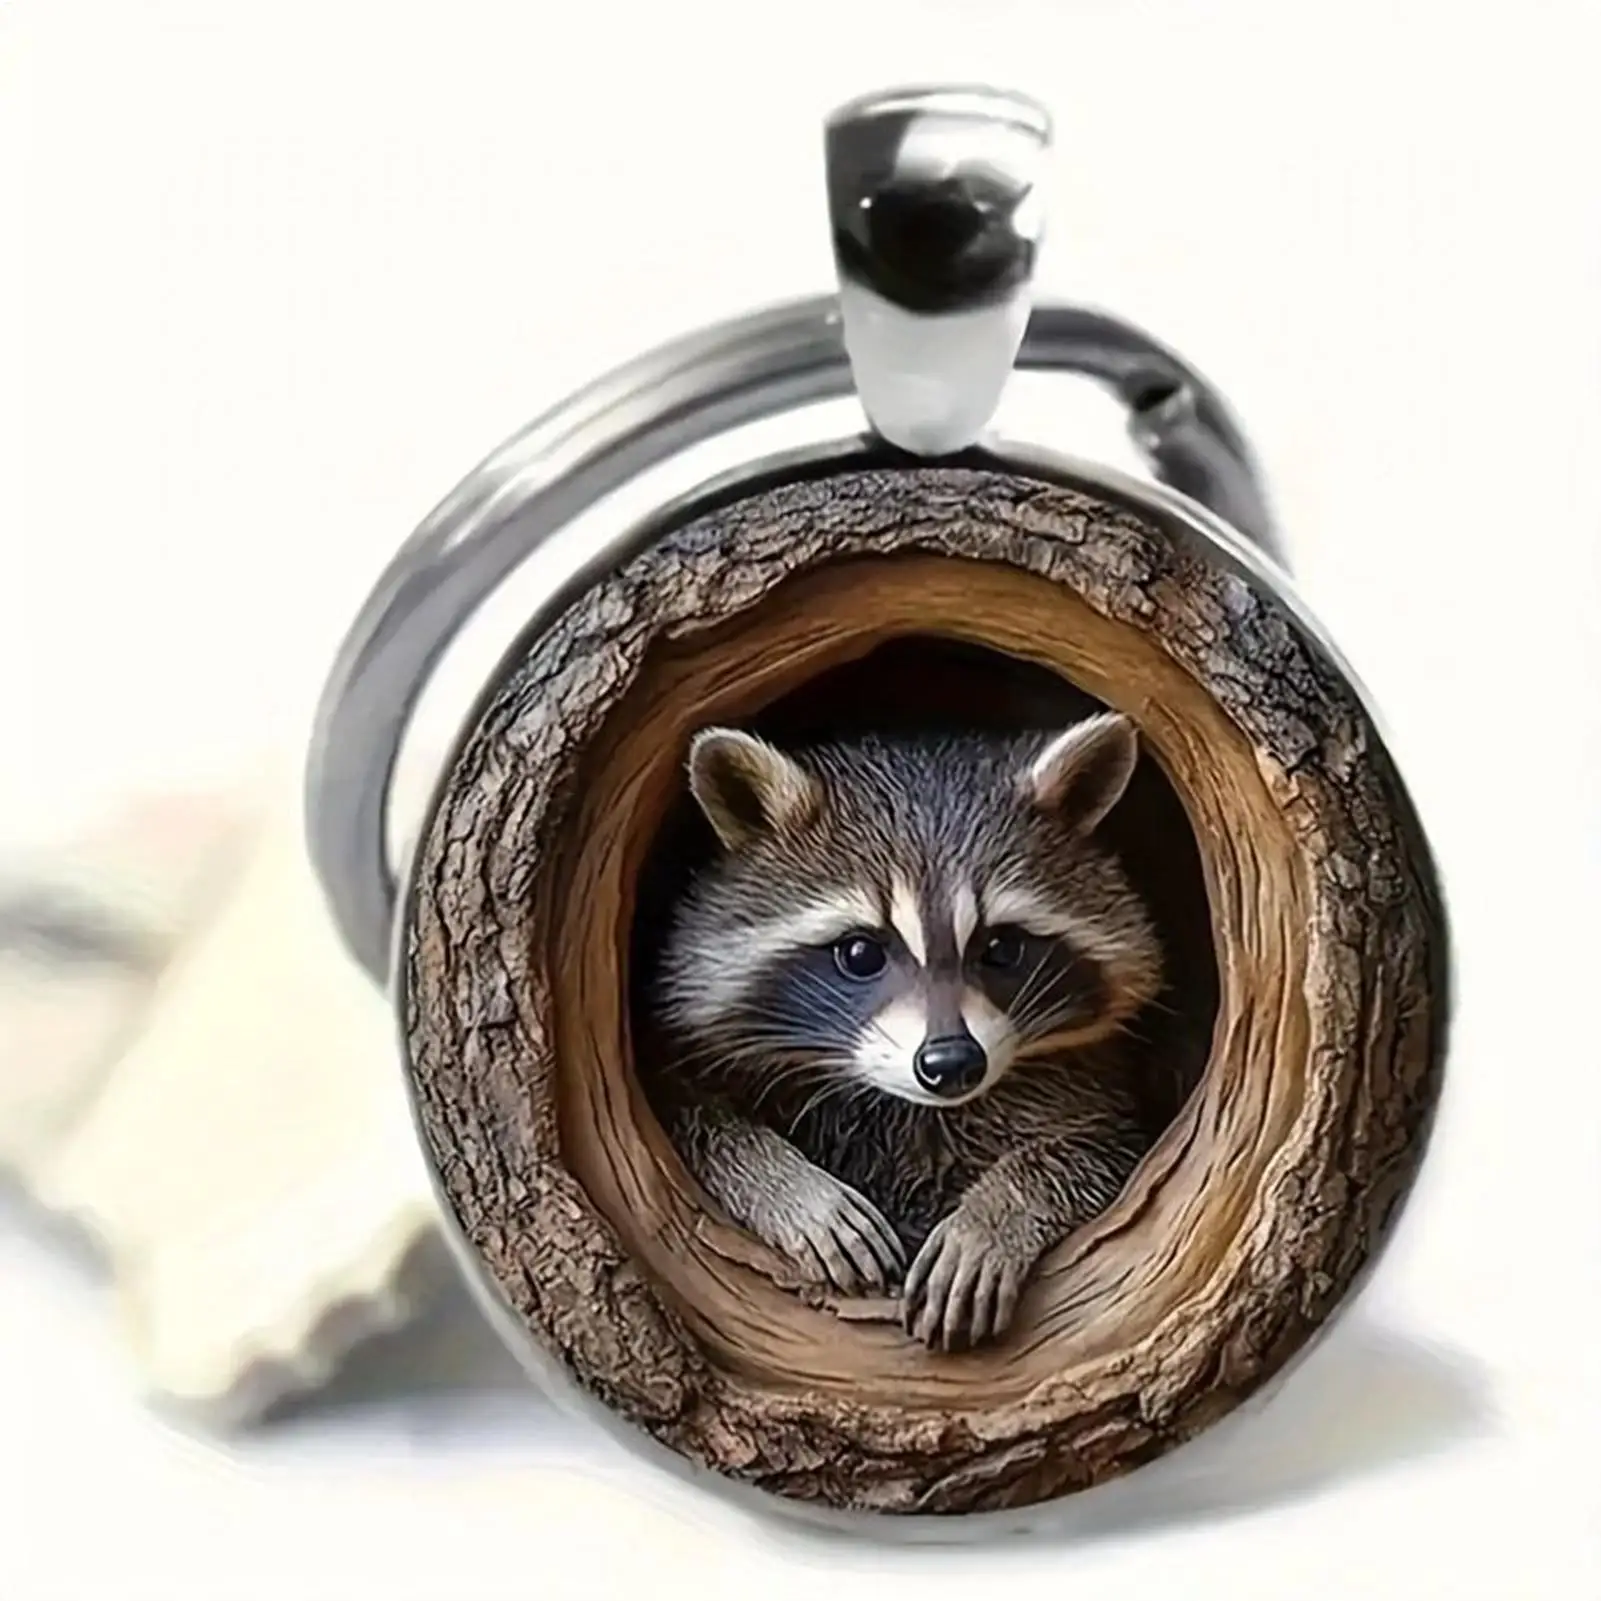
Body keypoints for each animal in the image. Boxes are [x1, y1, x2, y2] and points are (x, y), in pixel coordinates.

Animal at [647, 712, 1165, 1352]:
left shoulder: (1089, 1085)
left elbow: (1097, 1150)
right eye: (860, 953)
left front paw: (994, 1214)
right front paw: (789, 1187)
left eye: (1002, 948)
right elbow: (692, 1116)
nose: (952, 1062)